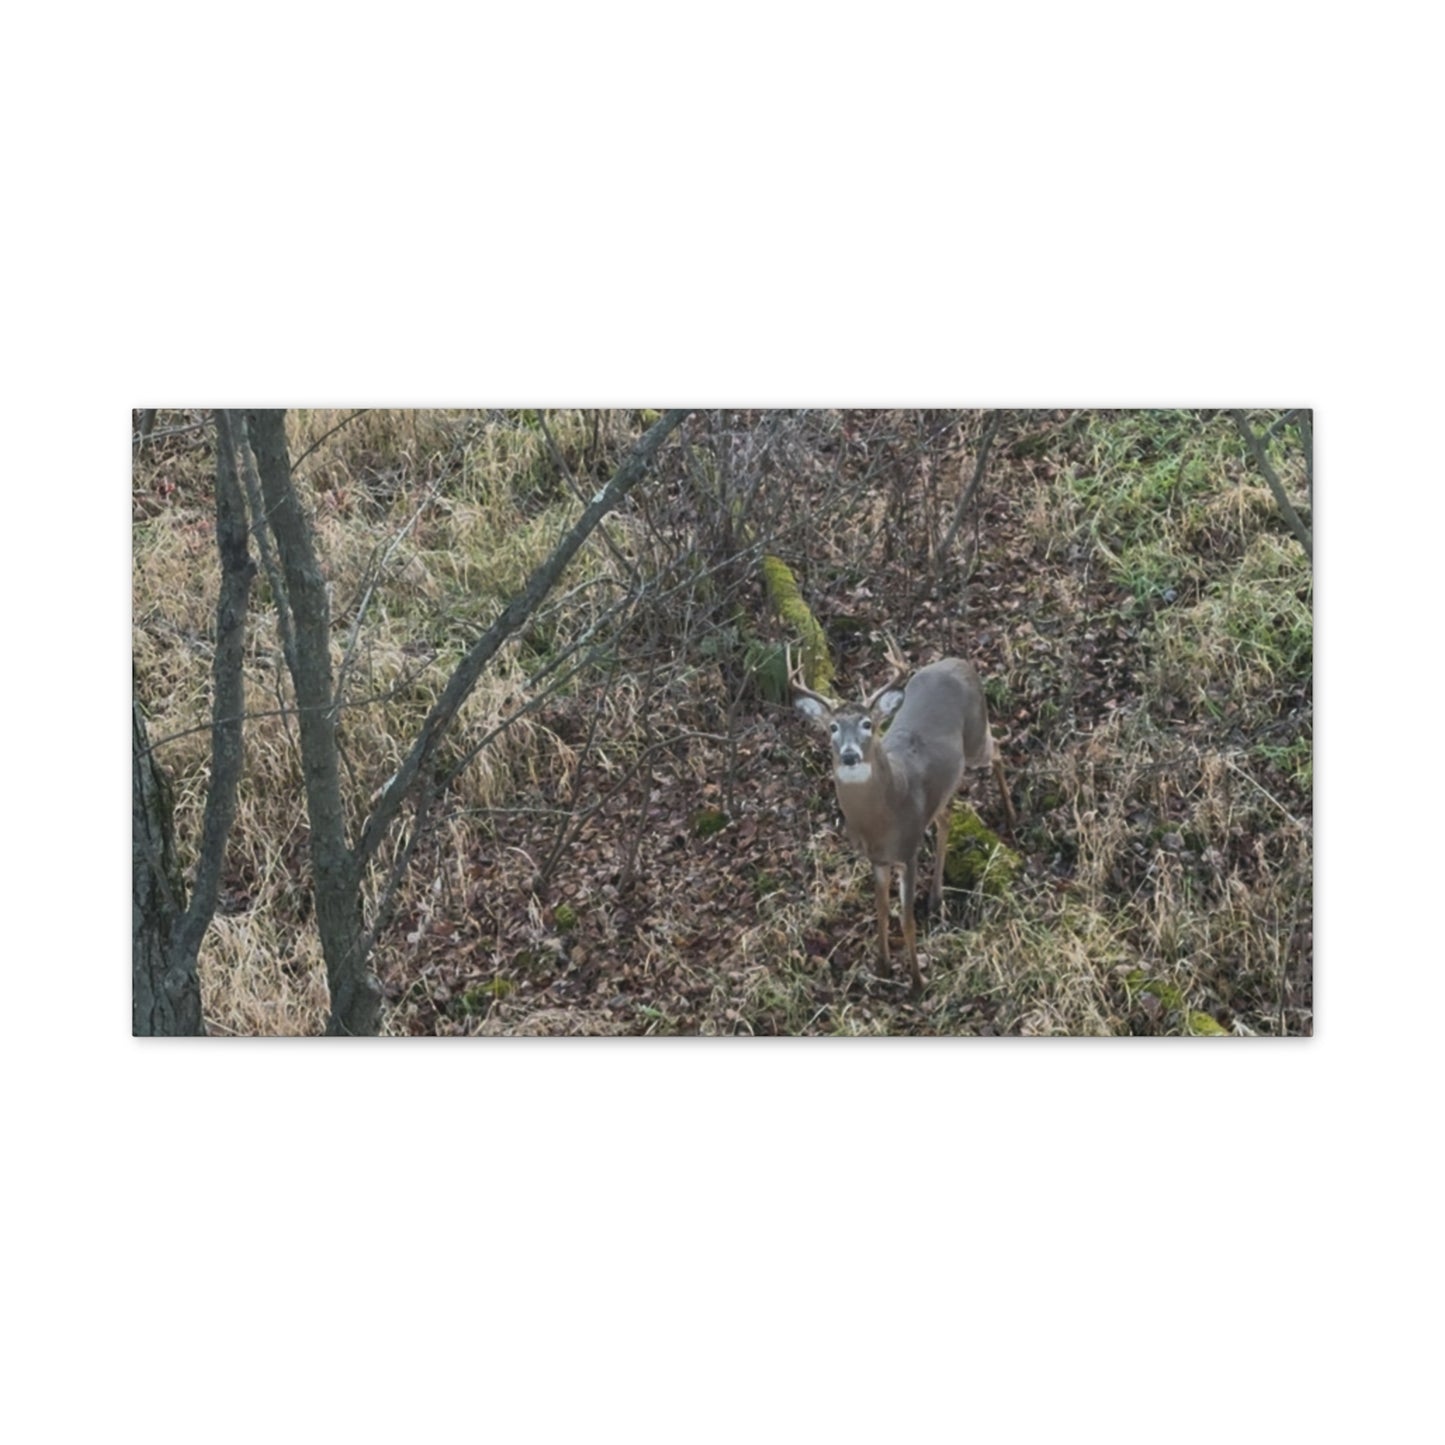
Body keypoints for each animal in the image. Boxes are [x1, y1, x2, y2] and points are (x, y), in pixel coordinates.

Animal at [791, 638, 1015, 999]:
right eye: (833, 727)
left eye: (867, 724)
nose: (850, 755)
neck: (883, 819)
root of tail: (959, 661)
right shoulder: (877, 859)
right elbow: (881, 910)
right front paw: (882, 967)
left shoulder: (908, 851)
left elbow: (906, 918)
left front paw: (917, 982)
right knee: (946, 818)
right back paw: (936, 897)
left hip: (976, 736)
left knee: (996, 749)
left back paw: (1011, 814)